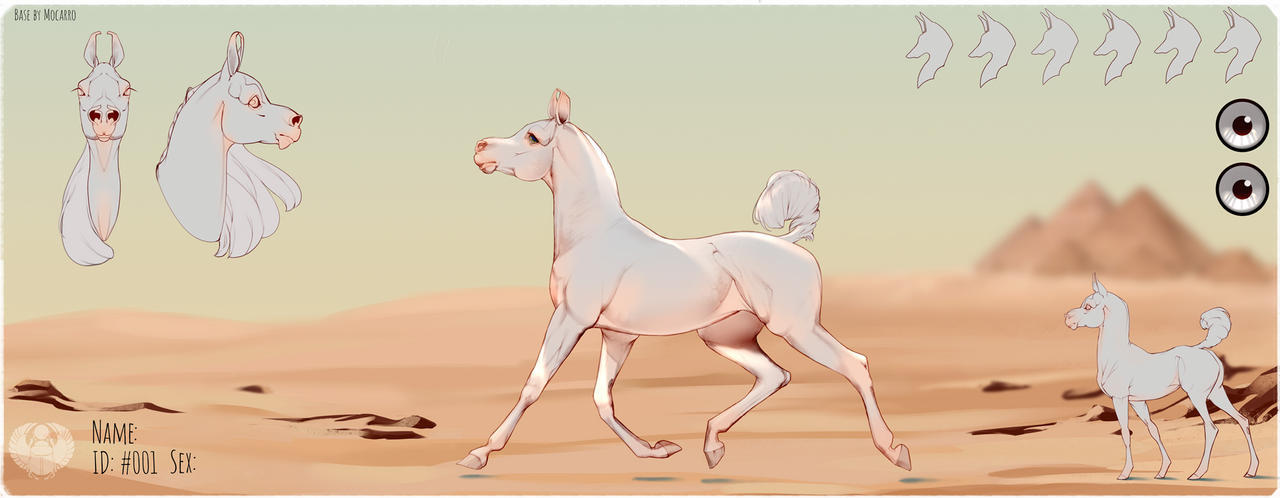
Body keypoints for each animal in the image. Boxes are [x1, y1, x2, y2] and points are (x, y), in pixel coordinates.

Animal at [460, 89, 911, 473]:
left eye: (534, 137)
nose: (480, 150)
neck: (592, 235)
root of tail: (789, 242)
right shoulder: (616, 335)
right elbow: (603, 398)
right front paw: (655, 450)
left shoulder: (570, 320)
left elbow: (534, 385)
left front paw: (480, 454)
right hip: (724, 336)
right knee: (774, 376)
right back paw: (712, 444)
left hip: (797, 329)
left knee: (855, 365)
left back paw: (894, 451)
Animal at [1063, 275, 1259, 480]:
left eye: (1088, 306)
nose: (1067, 319)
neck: (1117, 356)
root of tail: (1208, 352)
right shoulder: (1137, 402)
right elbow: (1153, 430)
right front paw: (1163, 470)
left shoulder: (1120, 398)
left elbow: (1125, 433)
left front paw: (1125, 473)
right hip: (1216, 394)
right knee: (1242, 420)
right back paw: (1251, 470)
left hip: (1198, 396)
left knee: (1211, 428)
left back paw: (1198, 473)